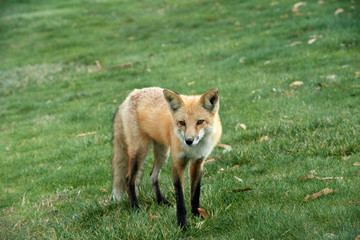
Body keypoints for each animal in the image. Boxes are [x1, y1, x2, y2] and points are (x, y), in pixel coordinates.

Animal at [111, 87, 221, 228]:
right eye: (182, 123)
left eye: (200, 122)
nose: (188, 141)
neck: (194, 150)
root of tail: (133, 92)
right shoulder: (178, 163)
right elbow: (180, 198)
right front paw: (182, 224)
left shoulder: (198, 162)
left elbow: (195, 193)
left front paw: (197, 215)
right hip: (140, 151)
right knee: (128, 179)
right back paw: (135, 207)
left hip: (162, 152)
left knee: (152, 176)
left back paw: (161, 201)